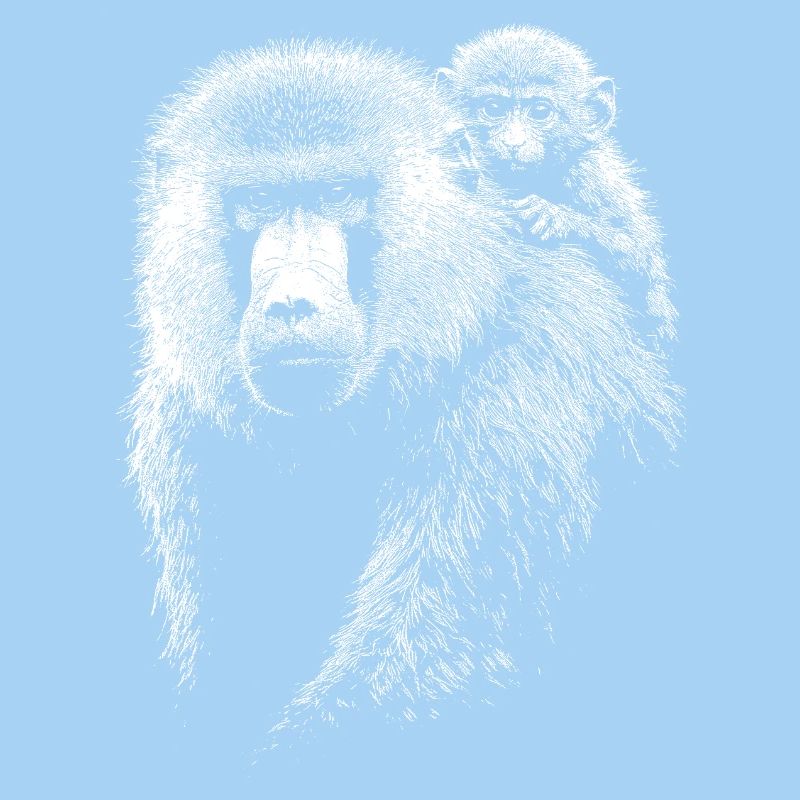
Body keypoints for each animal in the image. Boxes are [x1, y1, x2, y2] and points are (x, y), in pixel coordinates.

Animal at [438, 25, 677, 343]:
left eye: (540, 112)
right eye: (493, 108)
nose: (514, 141)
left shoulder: (592, 175)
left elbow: (640, 259)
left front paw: (554, 215)